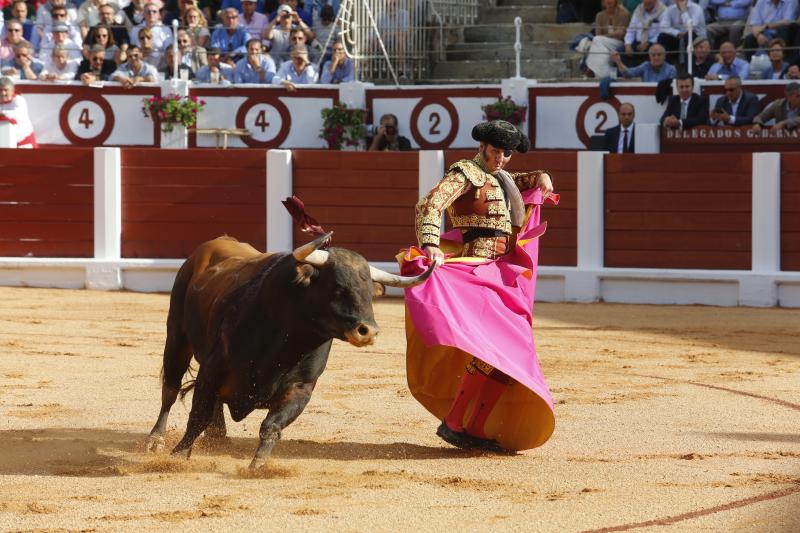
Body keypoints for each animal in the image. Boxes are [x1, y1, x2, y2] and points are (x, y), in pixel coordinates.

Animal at [143, 233, 432, 466]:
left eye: (370, 292)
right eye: (338, 287)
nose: (368, 331)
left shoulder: (301, 387)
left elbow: (271, 426)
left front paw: (259, 465)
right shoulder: (212, 368)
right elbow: (197, 415)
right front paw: (179, 455)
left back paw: (219, 439)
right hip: (177, 337)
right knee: (170, 390)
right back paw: (155, 439)